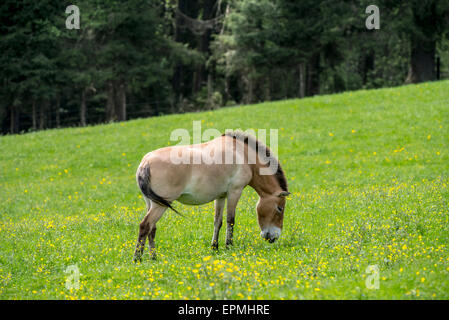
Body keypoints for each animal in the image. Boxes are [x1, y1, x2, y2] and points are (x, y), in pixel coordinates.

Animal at [131, 131, 288, 262]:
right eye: (280, 208)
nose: (274, 237)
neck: (242, 154)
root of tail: (146, 162)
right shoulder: (234, 192)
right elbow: (230, 220)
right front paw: (229, 245)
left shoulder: (221, 196)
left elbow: (218, 222)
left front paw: (215, 247)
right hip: (160, 205)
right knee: (145, 225)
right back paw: (137, 258)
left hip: (151, 203)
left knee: (152, 229)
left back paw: (153, 257)